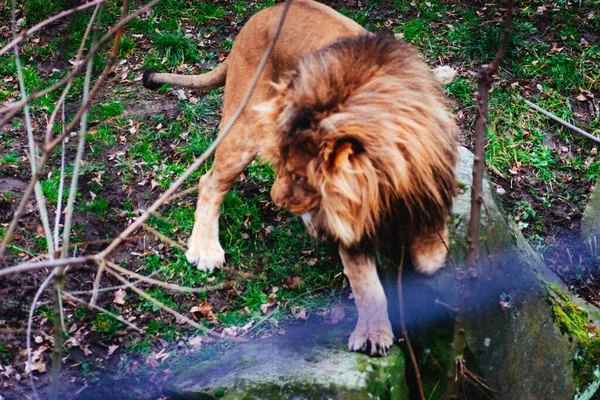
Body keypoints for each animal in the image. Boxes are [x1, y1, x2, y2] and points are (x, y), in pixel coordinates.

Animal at [142, 0, 460, 356]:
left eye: (299, 174)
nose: (276, 199)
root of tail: (262, 15)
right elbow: (366, 284)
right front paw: (373, 335)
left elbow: (430, 245)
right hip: (246, 126)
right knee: (210, 181)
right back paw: (205, 249)